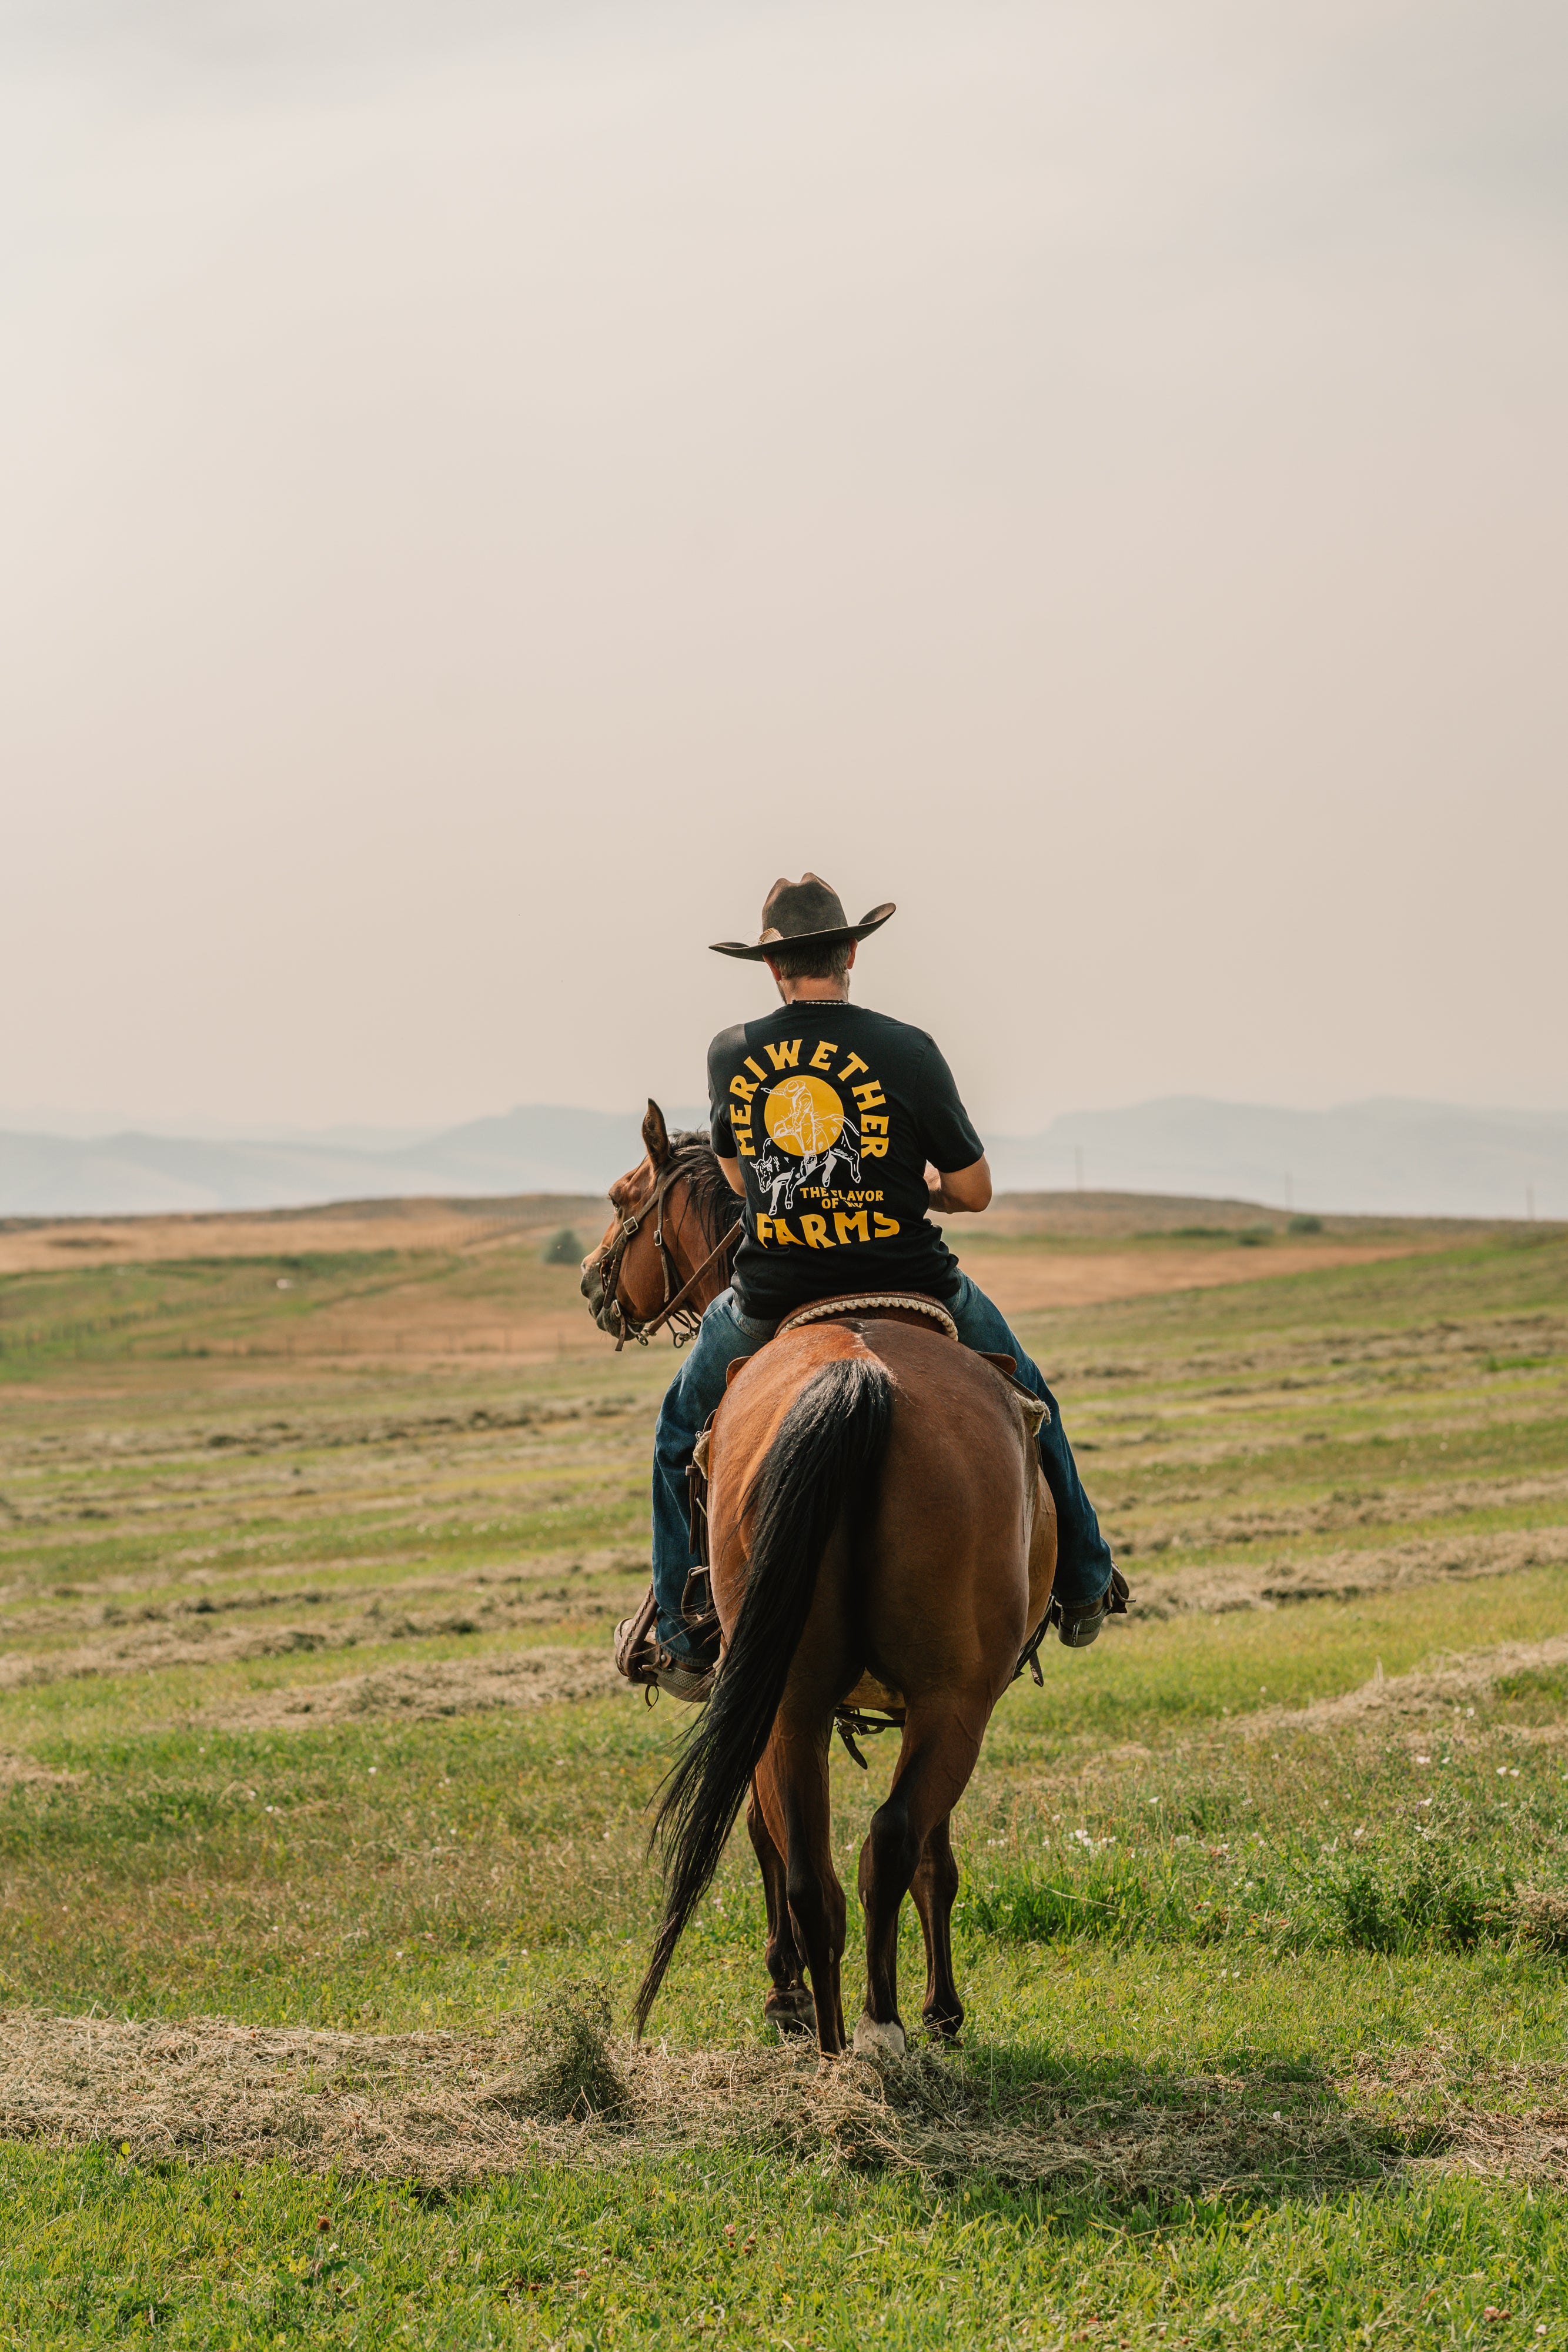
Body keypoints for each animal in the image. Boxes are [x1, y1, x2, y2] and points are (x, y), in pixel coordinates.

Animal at [583, 1101, 1062, 2060]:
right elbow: (926, 1854)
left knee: (830, 1866)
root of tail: (858, 1375)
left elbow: (767, 1837)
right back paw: (875, 2033)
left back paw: (848, 2039)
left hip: (810, 1699)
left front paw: (788, 1994)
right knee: (883, 1847)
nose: (590, 1284)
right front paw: (936, 2010)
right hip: (930, 1700)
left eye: (623, 1197)